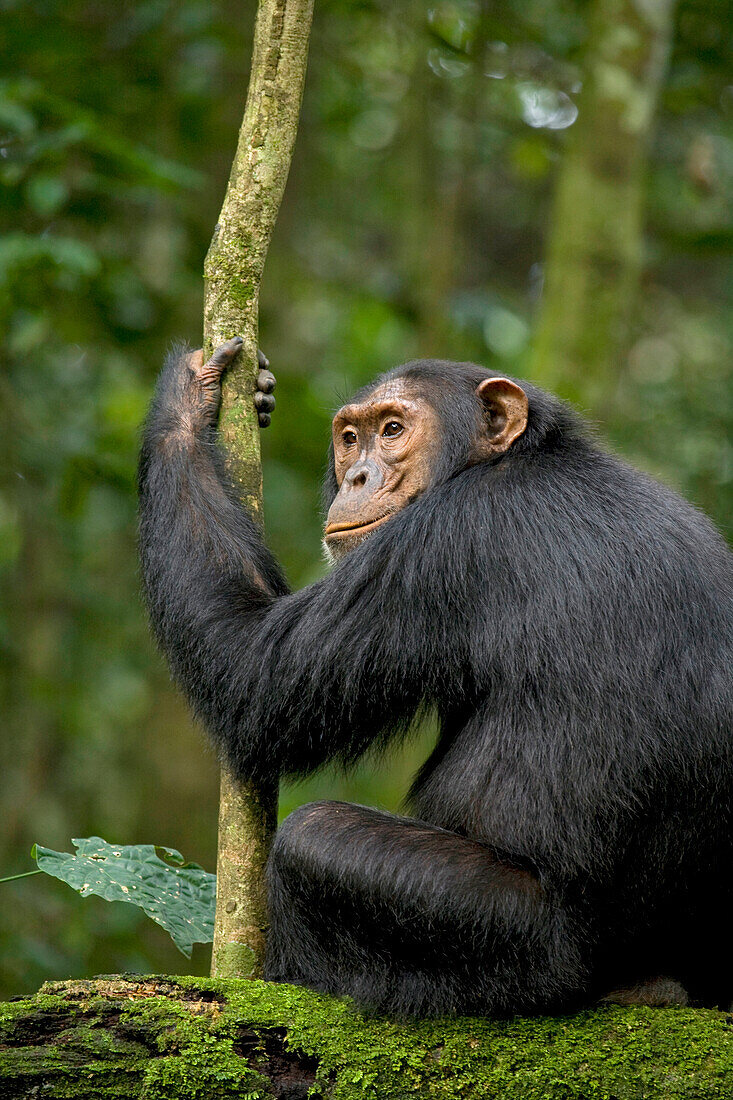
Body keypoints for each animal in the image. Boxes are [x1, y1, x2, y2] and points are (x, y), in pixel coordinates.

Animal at [138, 338, 730, 1016]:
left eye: (394, 430)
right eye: (351, 438)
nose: (359, 475)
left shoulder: (436, 544)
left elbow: (253, 676)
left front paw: (185, 400)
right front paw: (246, 389)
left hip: (506, 943)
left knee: (314, 838)